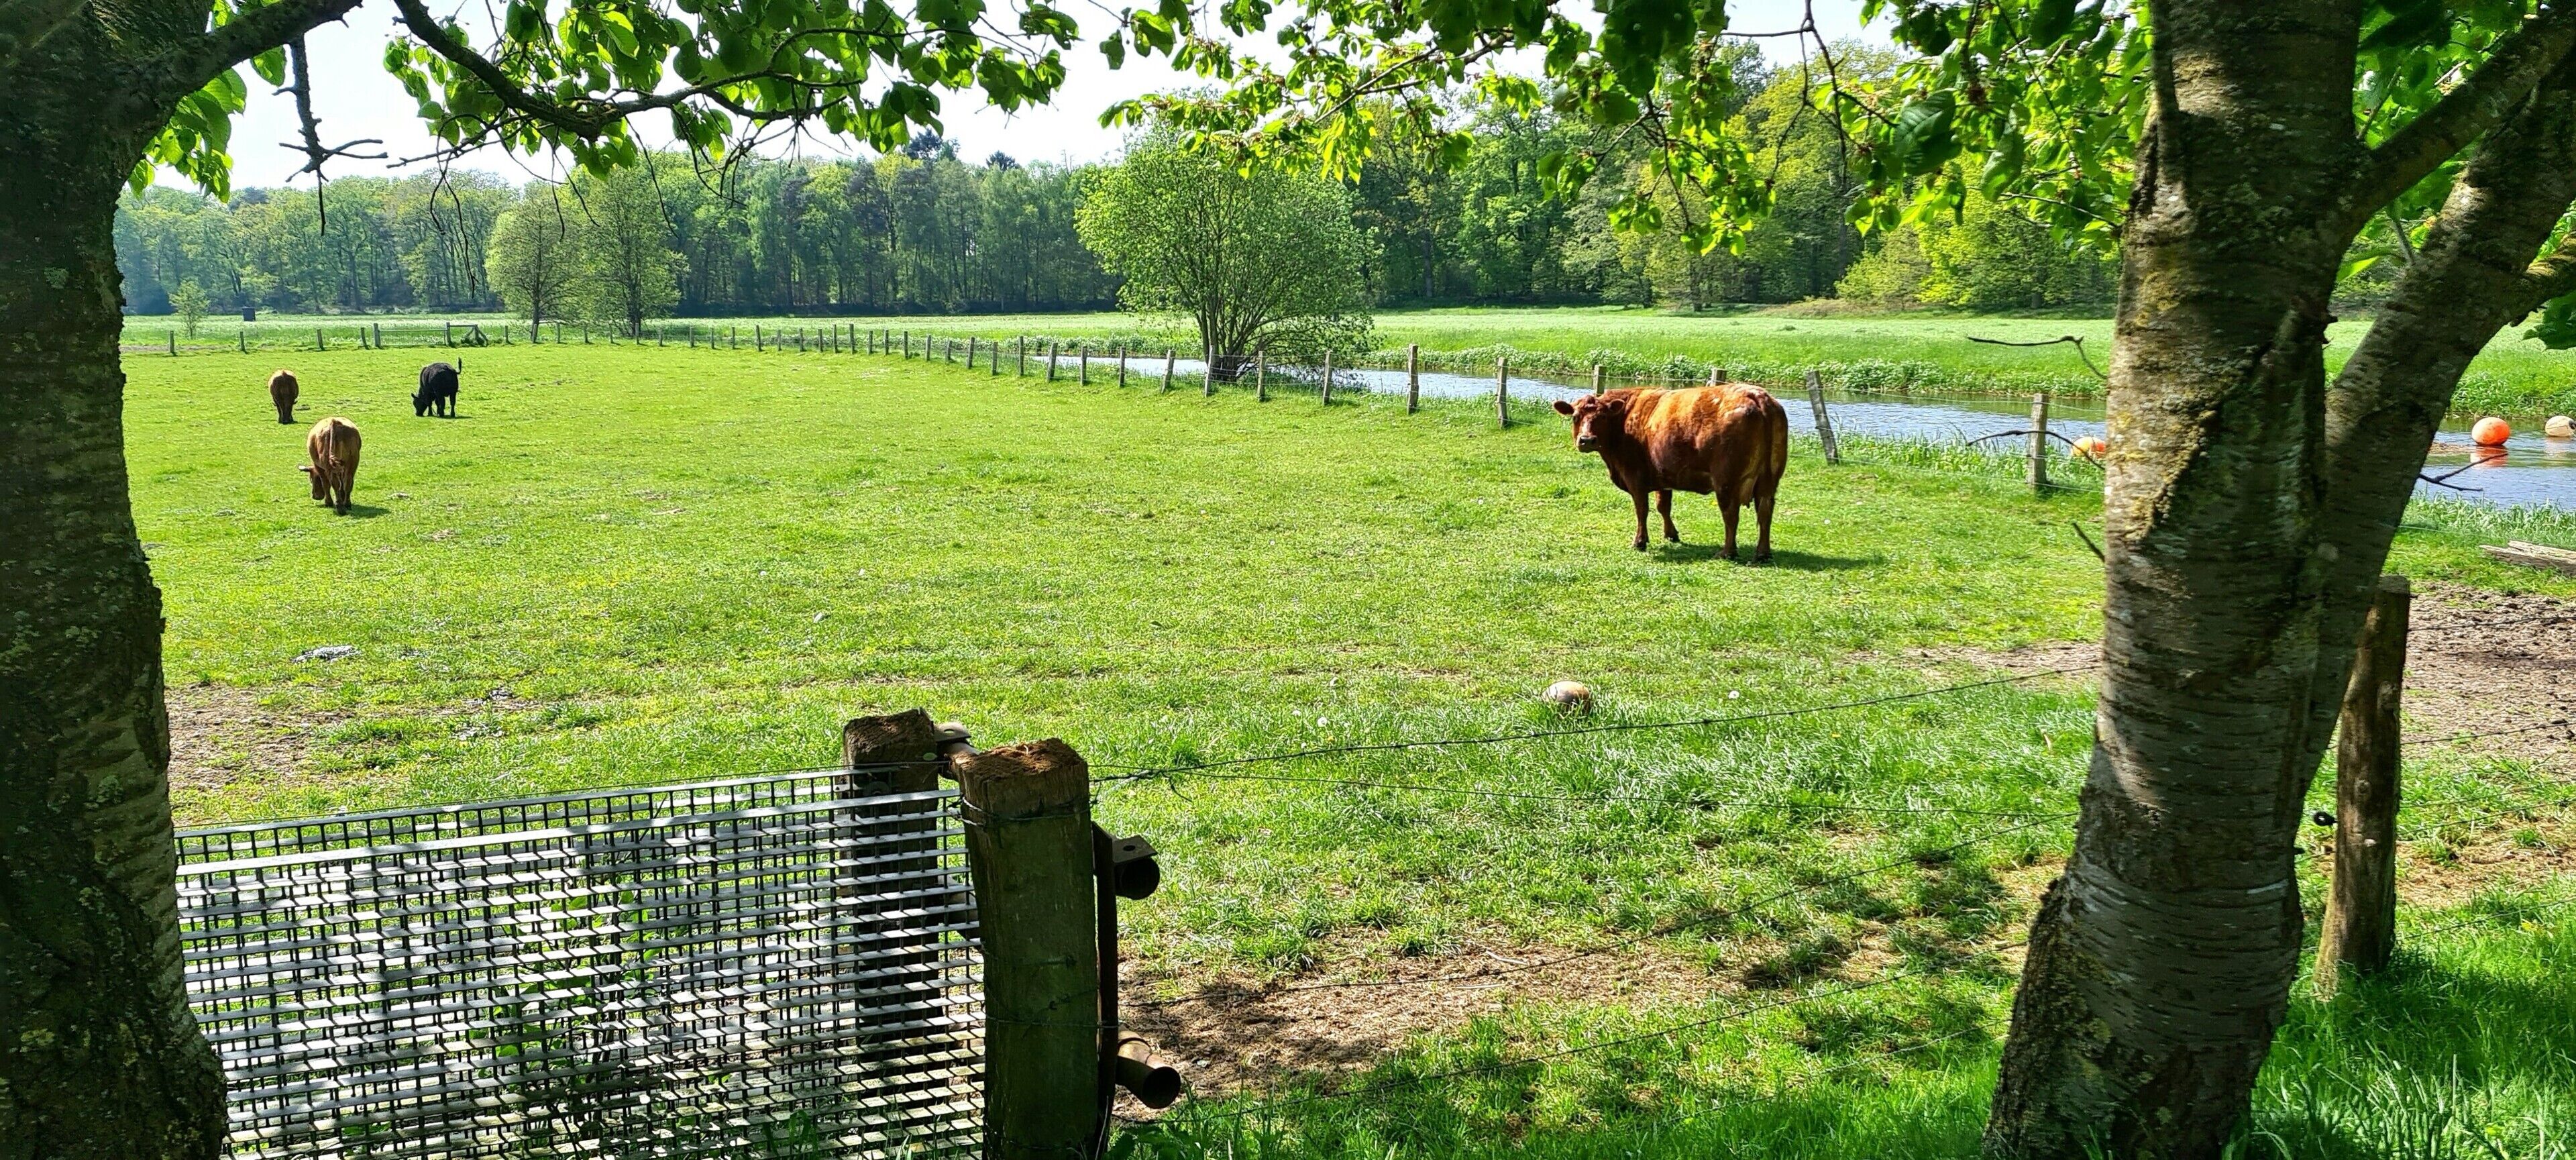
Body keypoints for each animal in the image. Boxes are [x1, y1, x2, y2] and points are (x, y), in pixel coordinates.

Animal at [300, 417, 361, 513]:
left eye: (311, 479)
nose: (314, 496)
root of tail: (334, 421)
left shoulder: (319, 467)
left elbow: (325, 483)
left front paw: (328, 502)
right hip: (352, 462)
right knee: (347, 482)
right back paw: (346, 504)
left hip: (327, 464)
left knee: (333, 483)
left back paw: (338, 506)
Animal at [1552, 383, 1789, 561]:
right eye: (1575, 417)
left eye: (1602, 417)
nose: (1587, 440)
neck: (1624, 420)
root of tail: (1757, 395)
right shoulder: (1662, 476)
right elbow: (1663, 506)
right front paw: (1671, 534)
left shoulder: (1635, 477)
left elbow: (1642, 510)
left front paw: (1640, 541)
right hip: (1769, 480)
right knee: (1765, 511)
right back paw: (1762, 553)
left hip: (1726, 481)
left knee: (1731, 514)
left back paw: (1727, 552)